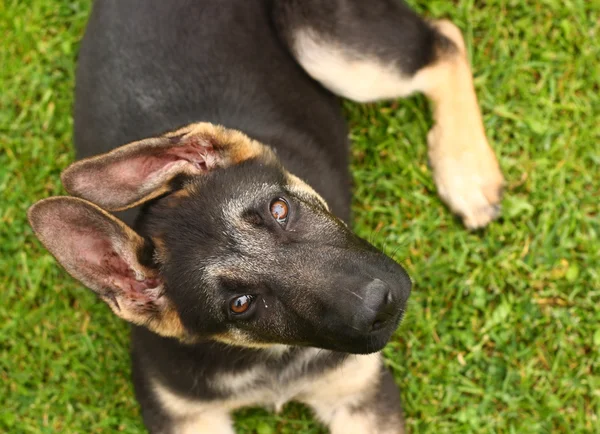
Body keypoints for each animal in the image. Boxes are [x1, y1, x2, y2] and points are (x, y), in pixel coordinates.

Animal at [29, 1, 506, 432]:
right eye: (241, 304)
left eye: (280, 209)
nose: (383, 304)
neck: (270, 356)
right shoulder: (184, 416)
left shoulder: (359, 394)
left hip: (325, 49)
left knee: (443, 41)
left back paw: (466, 172)